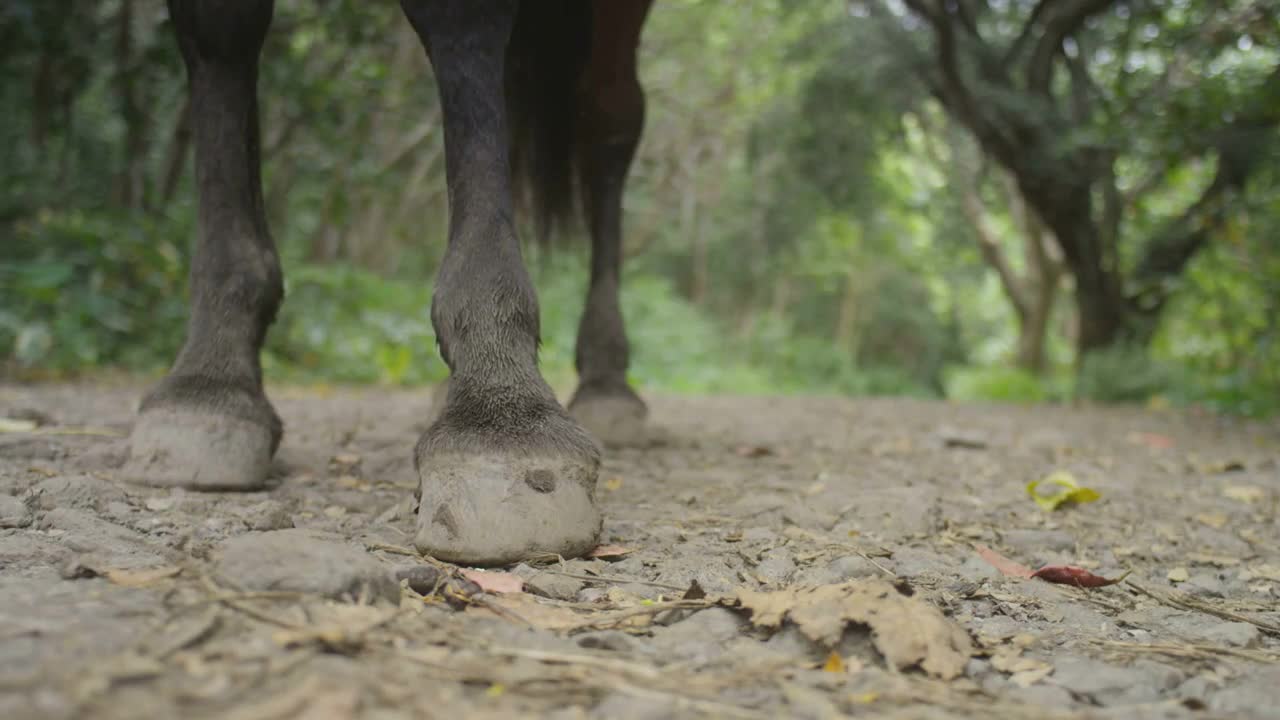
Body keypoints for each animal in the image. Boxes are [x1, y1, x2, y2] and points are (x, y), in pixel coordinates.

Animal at [123, 1, 650, 566]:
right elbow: (221, 35)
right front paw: (207, 382)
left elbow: (465, 28)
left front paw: (500, 416)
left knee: (610, 120)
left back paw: (607, 382)